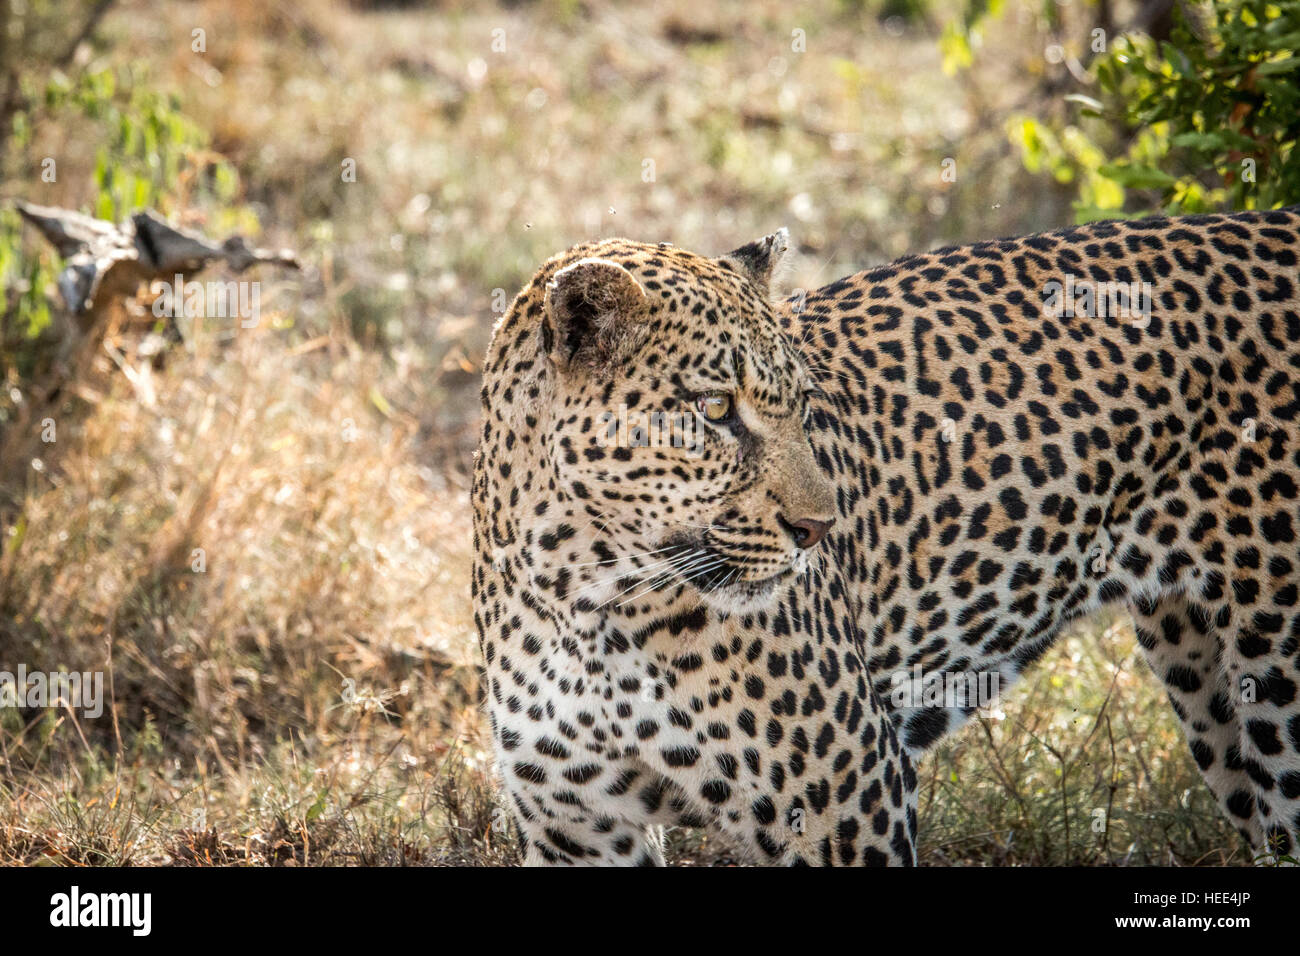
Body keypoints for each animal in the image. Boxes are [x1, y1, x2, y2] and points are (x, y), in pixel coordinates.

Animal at [471, 206, 1300, 866]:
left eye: (801, 403)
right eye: (712, 409)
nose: (817, 528)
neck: (585, 593)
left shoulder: (846, 801)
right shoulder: (576, 827)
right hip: (1204, 680)